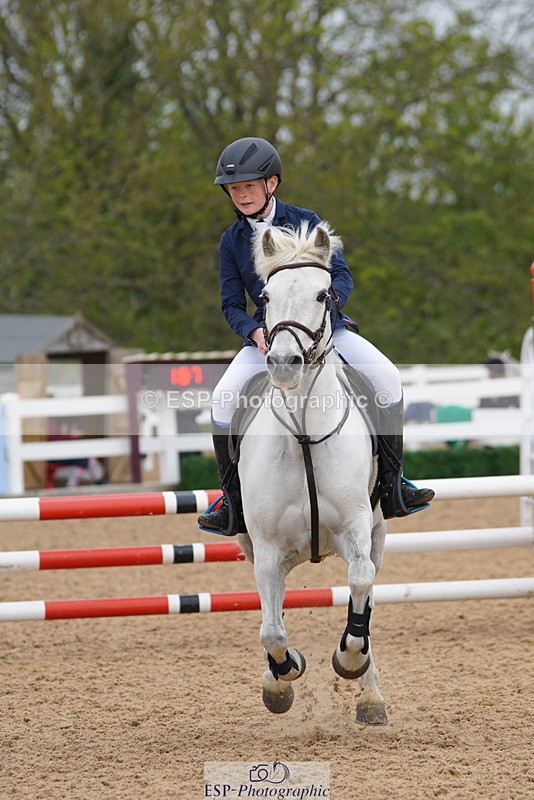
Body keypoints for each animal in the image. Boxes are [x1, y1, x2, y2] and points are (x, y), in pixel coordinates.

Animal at [236, 220, 388, 725]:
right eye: (264, 295)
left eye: (324, 294)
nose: (284, 363)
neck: (303, 433)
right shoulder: (265, 549)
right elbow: (271, 630)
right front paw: (282, 676)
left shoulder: (358, 530)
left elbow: (359, 588)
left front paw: (349, 660)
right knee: (273, 612)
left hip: (378, 534)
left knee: (368, 597)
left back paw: (370, 696)